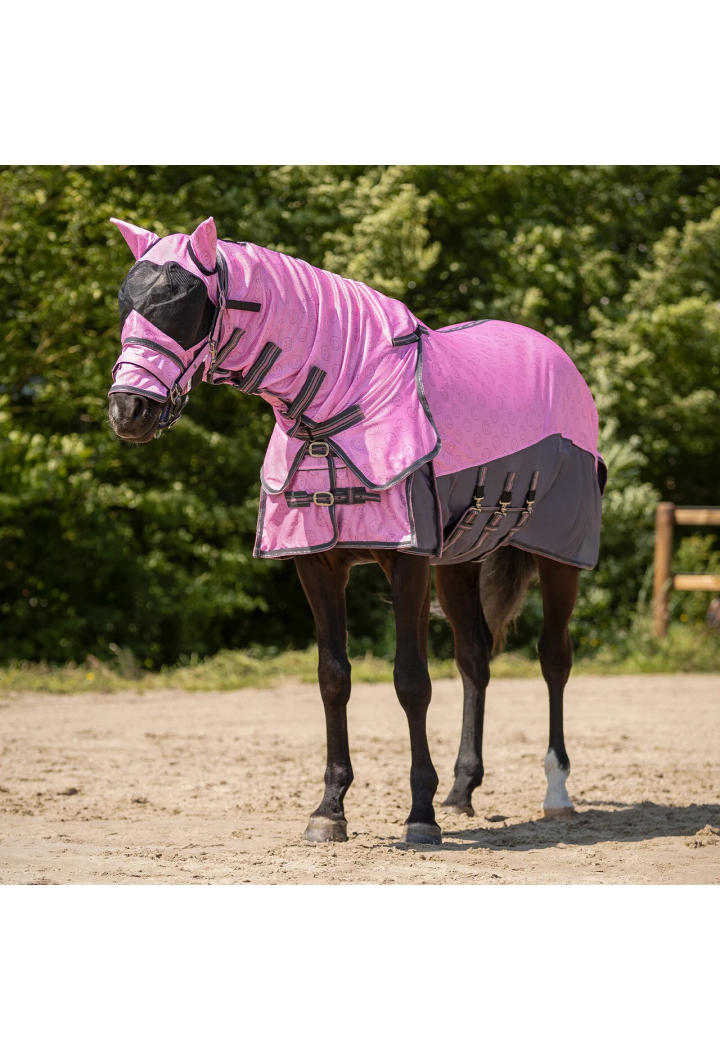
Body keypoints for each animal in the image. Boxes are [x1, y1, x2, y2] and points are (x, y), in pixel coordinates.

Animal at [107, 215, 605, 845]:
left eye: (186, 306)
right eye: (126, 307)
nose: (128, 412)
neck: (339, 410)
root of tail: (560, 362)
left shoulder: (408, 561)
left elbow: (411, 680)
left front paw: (420, 817)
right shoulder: (318, 564)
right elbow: (333, 678)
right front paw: (330, 810)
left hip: (560, 555)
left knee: (553, 657)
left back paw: (556, 792)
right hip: (460, 561)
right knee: (474, 659)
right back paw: (462, 792)